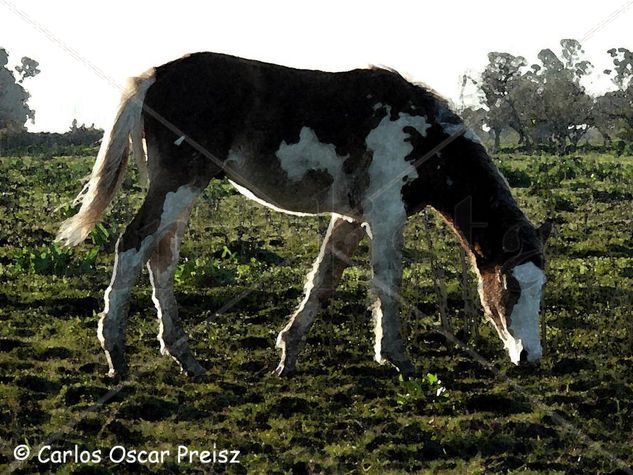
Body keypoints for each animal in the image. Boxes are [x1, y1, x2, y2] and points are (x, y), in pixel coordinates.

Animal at [60, 52, 552, 380]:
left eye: (540, 287)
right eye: (510, 286)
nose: (530, 357)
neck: (422, 135)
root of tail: (154, 77)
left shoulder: (351, 219)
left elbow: (324, 277)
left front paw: (288, 353)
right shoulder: (386, 216)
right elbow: (387, 283)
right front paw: (397, 358)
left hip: (178, 193)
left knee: (160, 258)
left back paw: (185, 357)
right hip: (177, 187)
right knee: (133, 246)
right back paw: (116, 354)